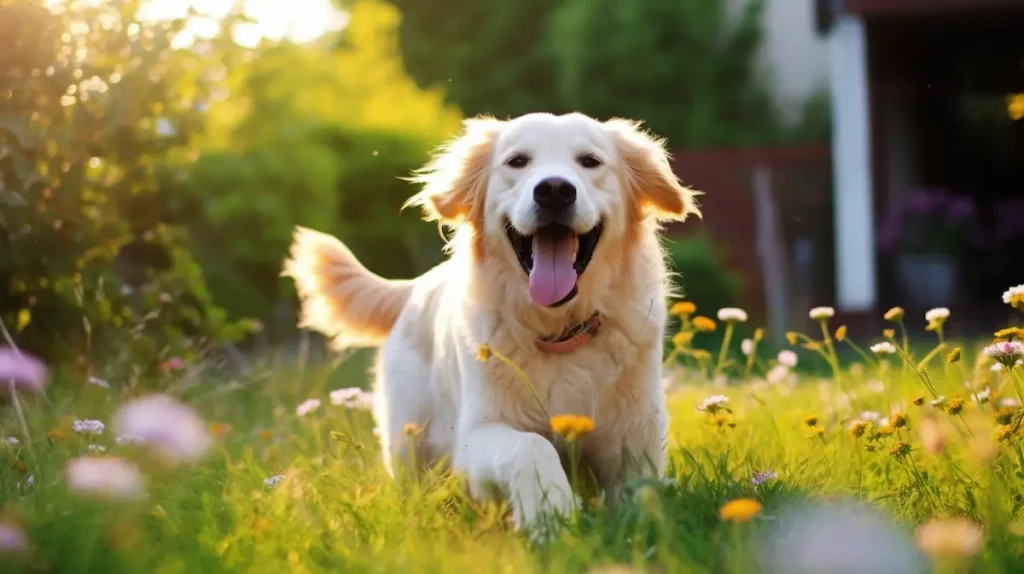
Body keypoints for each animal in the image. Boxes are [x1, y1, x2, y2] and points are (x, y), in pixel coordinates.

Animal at [284, 111, 700, 532]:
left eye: (590, 161)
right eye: (517, 161)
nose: (554, 190)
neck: (557, 330)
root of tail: (414, 286)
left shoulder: (636, 435)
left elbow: (641, 497)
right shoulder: (475, 435)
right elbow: (531, 446)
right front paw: (551, 517)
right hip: (409, 446)